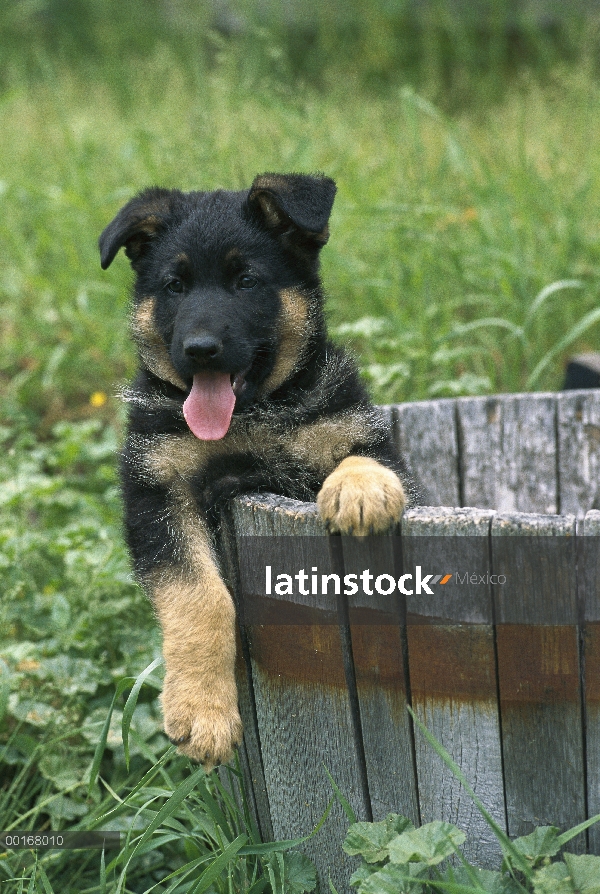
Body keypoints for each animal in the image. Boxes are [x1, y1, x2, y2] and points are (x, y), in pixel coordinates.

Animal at [99, 173, 418, 768]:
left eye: (246, 281)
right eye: (174, 286)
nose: (200, 349)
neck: (249, 419)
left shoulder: (365, 437)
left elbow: (357, 453)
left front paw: (359, 489)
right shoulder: (157, 495)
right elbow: (200, 599)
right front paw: (202, 712)